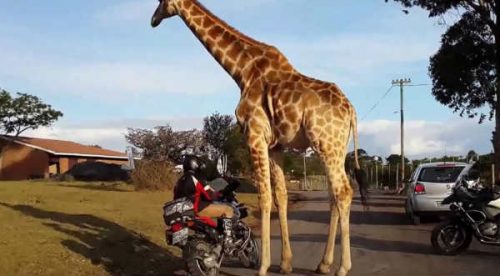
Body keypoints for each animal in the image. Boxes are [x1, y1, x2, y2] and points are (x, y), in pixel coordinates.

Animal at [149, 1, 368, 274]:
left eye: (160, 3)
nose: (153, 20)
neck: (242, 71)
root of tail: (351, 110)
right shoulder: (275, 146)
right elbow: (281, 196)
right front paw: (285, 263)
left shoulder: (254, 135)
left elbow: (264, 197)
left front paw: (263, 265)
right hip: (335, 148)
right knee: (333, 197)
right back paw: (323, 264)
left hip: (326, 144)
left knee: (344, 192)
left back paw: (342, 267)